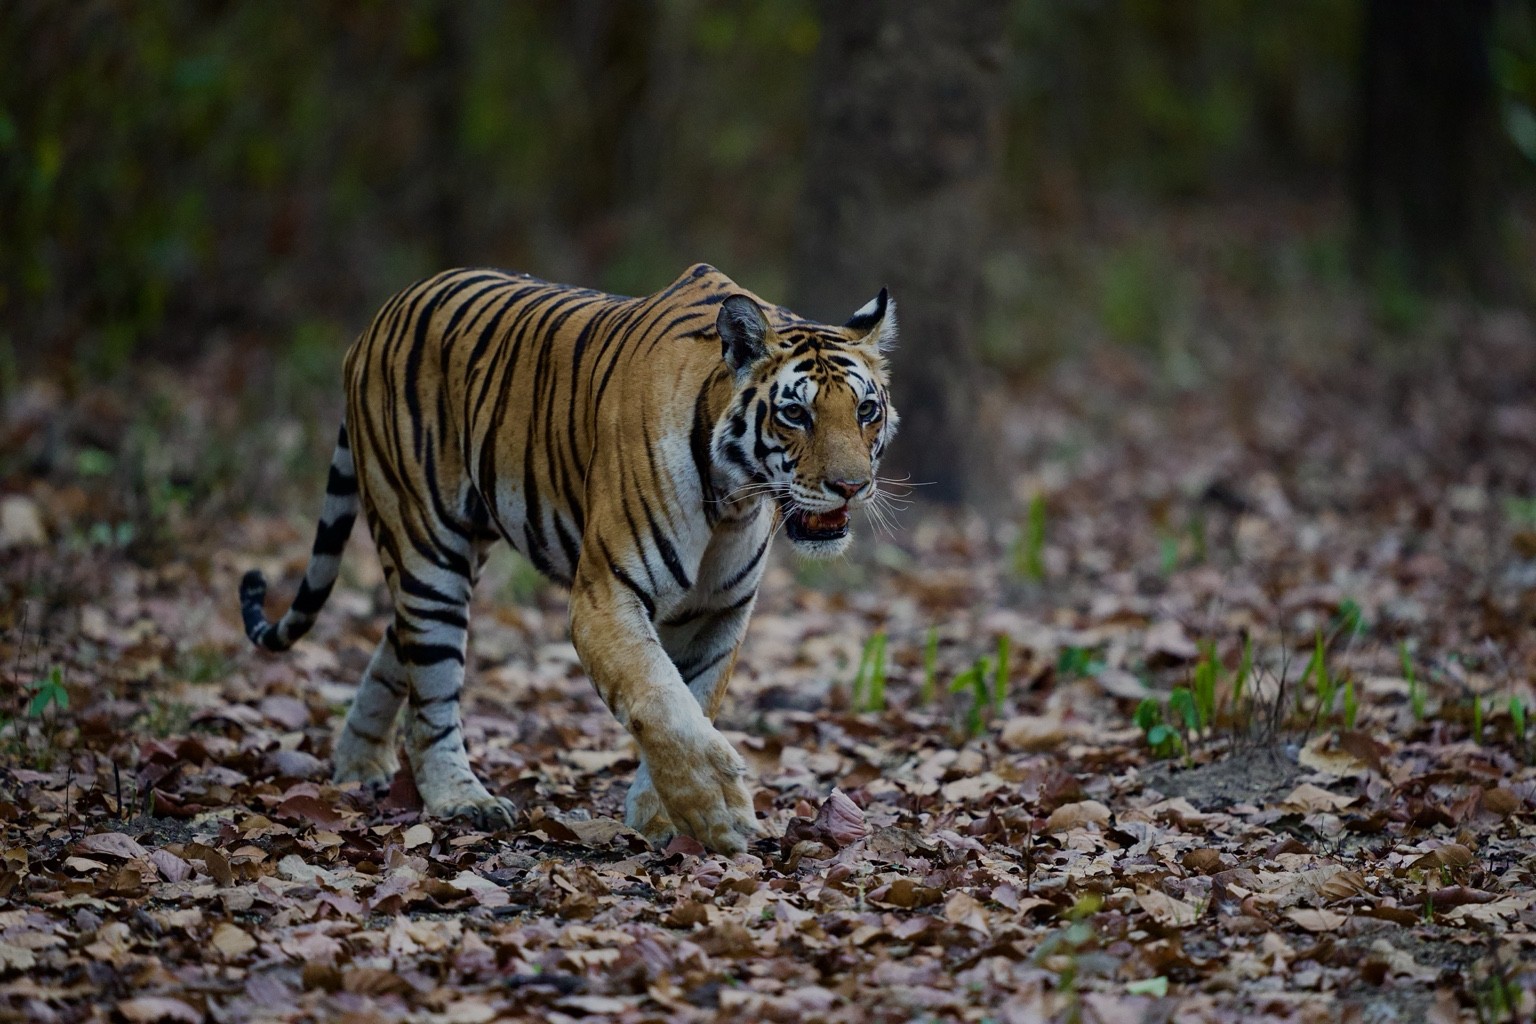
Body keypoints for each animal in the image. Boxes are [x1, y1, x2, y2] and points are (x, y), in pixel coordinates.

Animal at [239, 263, 898, 854]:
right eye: (795, 413)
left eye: (865, 411)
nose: (851, 487)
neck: (734, 497)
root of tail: (377, 321)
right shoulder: (605, 595)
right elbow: (661, 698)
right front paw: (719, 810)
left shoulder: (719, 613)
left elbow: (696, 700)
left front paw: (664, 817)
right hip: (427, 548)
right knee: (430, 695)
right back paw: (464, 800)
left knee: (394, 645)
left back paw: (357, 762)